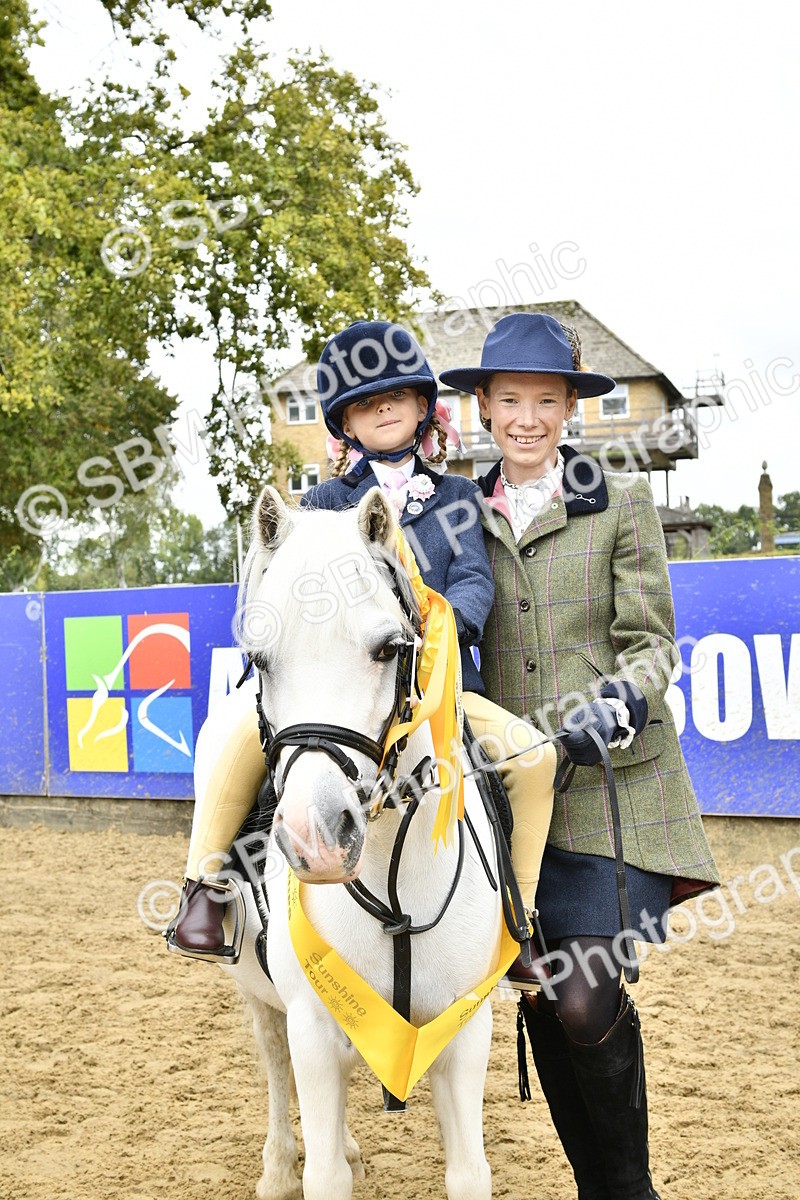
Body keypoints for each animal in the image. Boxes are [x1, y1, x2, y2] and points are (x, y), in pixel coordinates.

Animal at [193, 485, 508, 1200]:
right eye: (259, 659)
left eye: (390, 648)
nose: (316, 839)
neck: (397, 890)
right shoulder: (312, 1029)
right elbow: (325, 1173)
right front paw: (306, 1163)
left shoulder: (462, 1033)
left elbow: (468, 1173)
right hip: (260, 994)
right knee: (274, 1066)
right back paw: (277, 1166)